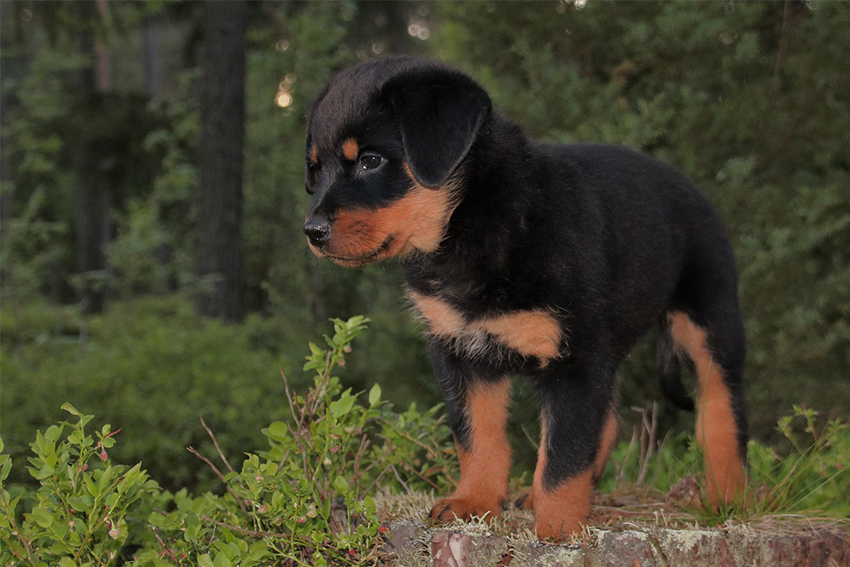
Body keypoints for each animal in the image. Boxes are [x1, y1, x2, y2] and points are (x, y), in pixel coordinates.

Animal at [302, 55, 744, 540]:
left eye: (370, 161)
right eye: (315, 171)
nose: (312, 231)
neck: (470, 224)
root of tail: (692, 188)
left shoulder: (576, 360)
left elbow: (563, 455)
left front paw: (558, 529)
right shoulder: (460, 351)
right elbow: (478, 436)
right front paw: (474, 502)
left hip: (710, 320)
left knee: (721, 411)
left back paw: (727, 497)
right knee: (608, 422)